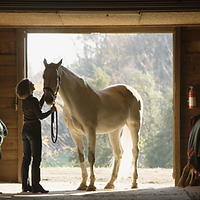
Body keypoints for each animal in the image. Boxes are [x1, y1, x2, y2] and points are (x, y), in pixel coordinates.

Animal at [42, 58, 143, 191]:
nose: (48, 99)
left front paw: (91, 185)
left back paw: (134, 183)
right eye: (44, 76)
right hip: (114, 130)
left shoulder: (91, 132)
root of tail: (133, 92)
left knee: (135, 151)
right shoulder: (75, 133)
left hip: (134, 125)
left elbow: (91, 157)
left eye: (57, 77)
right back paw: (110, 183)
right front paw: (83, 184)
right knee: (118, 152)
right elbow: (81, 157)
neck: (76, 101)